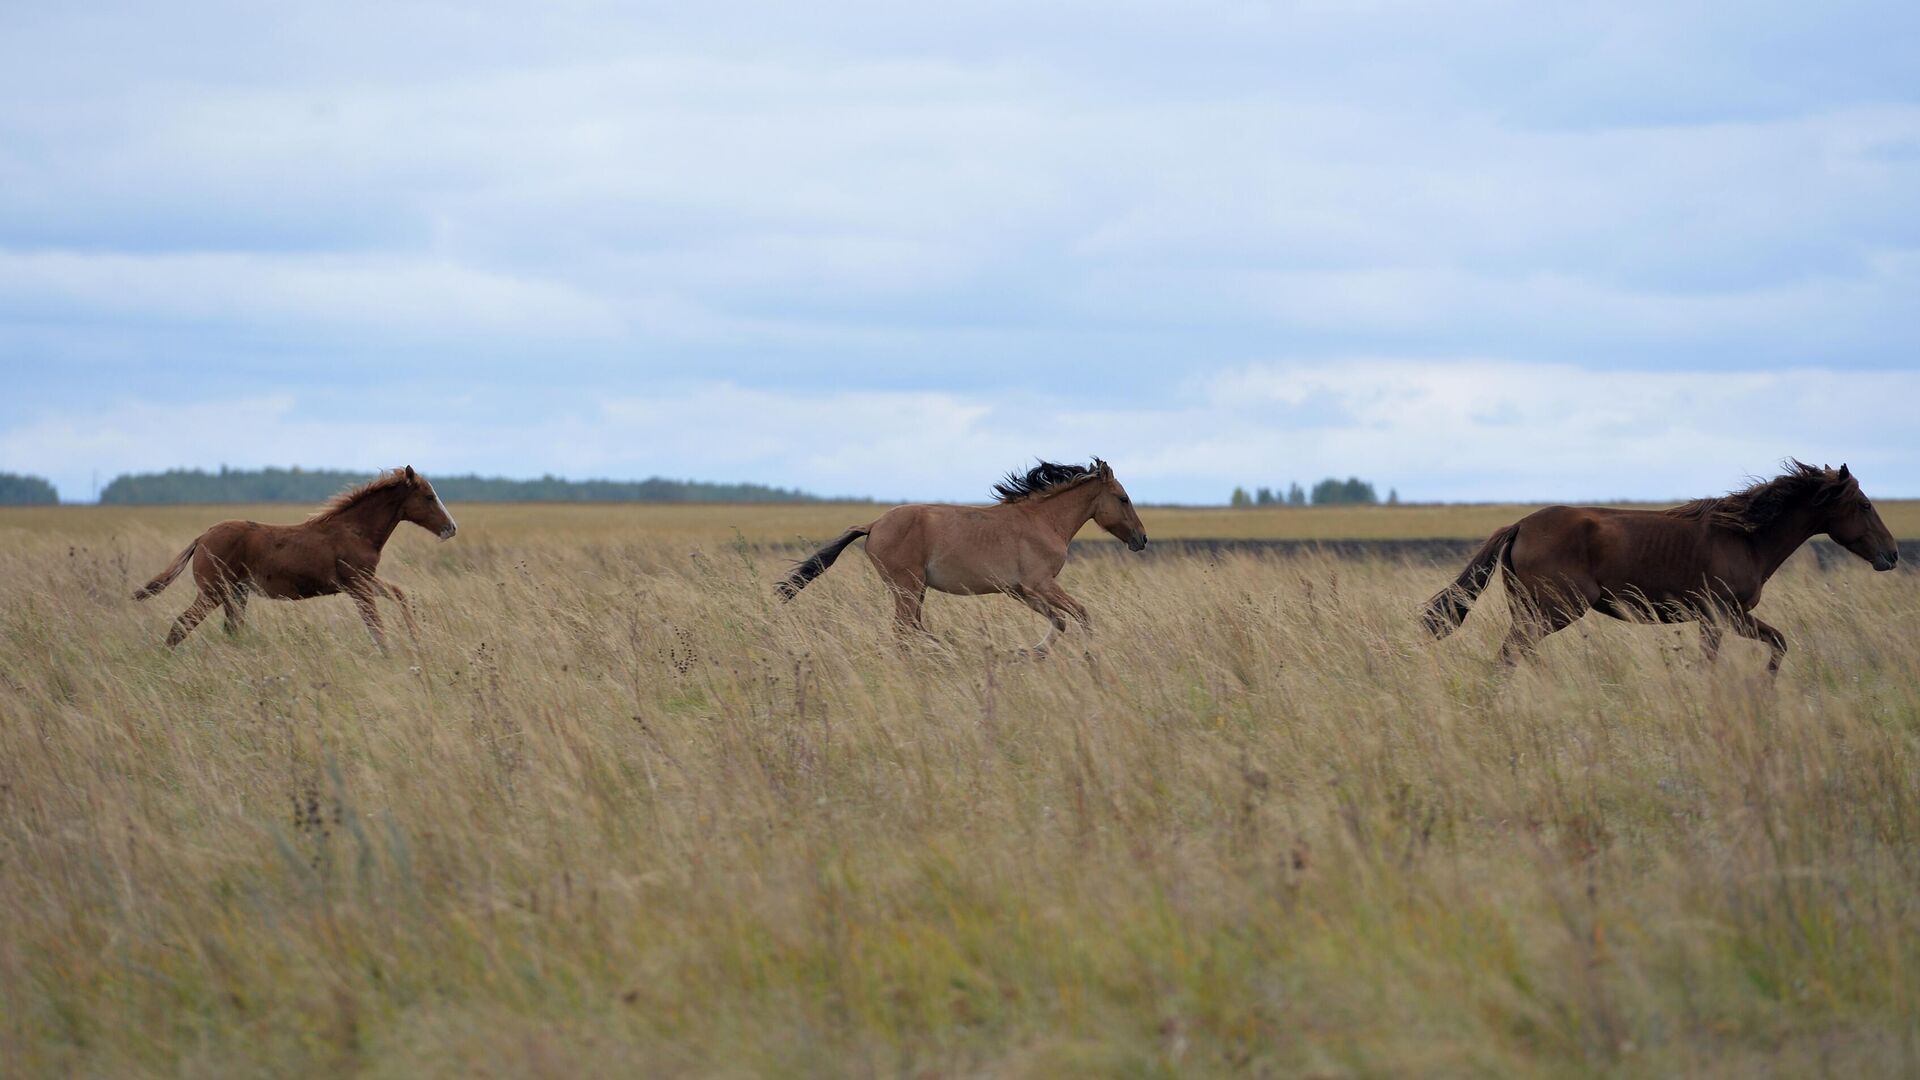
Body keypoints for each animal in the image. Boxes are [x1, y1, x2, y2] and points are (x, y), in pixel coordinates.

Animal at [133, 466, 458, 651]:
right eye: (429, 496)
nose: (451, 528)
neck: (355, 530)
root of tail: (202, 537)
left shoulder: (363, 580)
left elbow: (399, 594)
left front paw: (417, 639)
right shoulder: (358, 585)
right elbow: (376, 627)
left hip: (235, 594)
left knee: (231, 630)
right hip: (213, 592)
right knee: (181, 626)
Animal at [775, 458, 1149, 653]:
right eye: (1123, 498)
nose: (1142, 539)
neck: (1042, 521)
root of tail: (874, 524)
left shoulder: (1021, 591)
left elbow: (1060, 621)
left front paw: (1027, 654)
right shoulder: (1041, 584)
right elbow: (1082, 615)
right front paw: (1089, 657)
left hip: (915, 589)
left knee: (913, 627)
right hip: (907, 587)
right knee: (904, 629)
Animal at [1420, 461, 1898, 672]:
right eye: (1864, 504)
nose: (1892, 554)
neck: (1745, 536)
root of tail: (1520, 524)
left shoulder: (1724, 617)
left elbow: (1776, 643)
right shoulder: (1722, 614)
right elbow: (1740, 655)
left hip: (1530, 610)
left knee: (1517, 656)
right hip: (1555, 610)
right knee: (1509, 655)